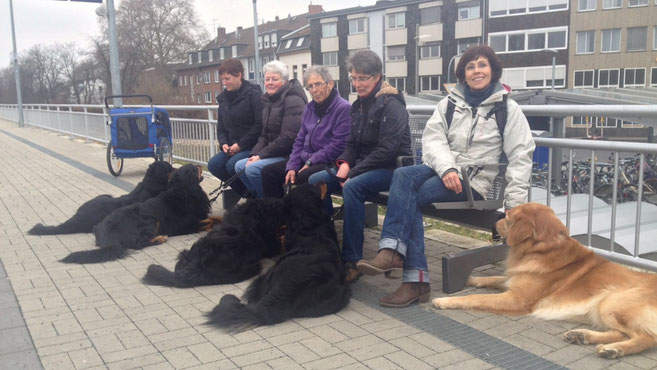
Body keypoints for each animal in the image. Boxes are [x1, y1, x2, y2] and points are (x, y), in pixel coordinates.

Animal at [60, 163, 210, 264]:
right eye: (193, 168)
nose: (200, 165)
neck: (184, 191)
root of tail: (108, 235)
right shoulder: (189, 225)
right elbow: (208, 223)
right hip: (151, 220)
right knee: (139, 243)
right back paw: (160, 238)